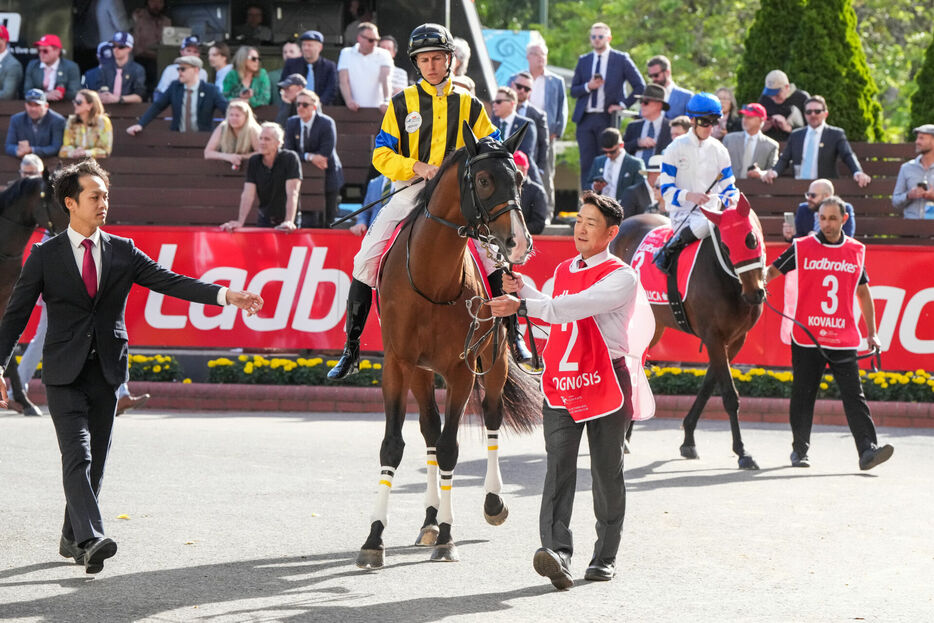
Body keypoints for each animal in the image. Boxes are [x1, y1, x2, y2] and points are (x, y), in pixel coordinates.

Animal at [356, 122, 544, 572]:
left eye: (521, 179)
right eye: (484, 179)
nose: (518, 243)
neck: (432, 278)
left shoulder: (462, 369)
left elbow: (450, 448)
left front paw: (447, 535)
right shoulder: (398, 364)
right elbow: (396, 445)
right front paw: (374, 537)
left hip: (493, 364)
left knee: (491, 419)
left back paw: (491, 502)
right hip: (422, 373)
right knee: (428, 428)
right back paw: (428, 518)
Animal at [616, 197, 768, 470]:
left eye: (751, 239)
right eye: (726, 247)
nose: (754, 293)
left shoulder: (735, 339)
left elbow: (709, 385)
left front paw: (688, 439)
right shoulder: (714, 336)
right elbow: (729, 394)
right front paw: (742, 451)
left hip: (654, 326)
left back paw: (627, 434)